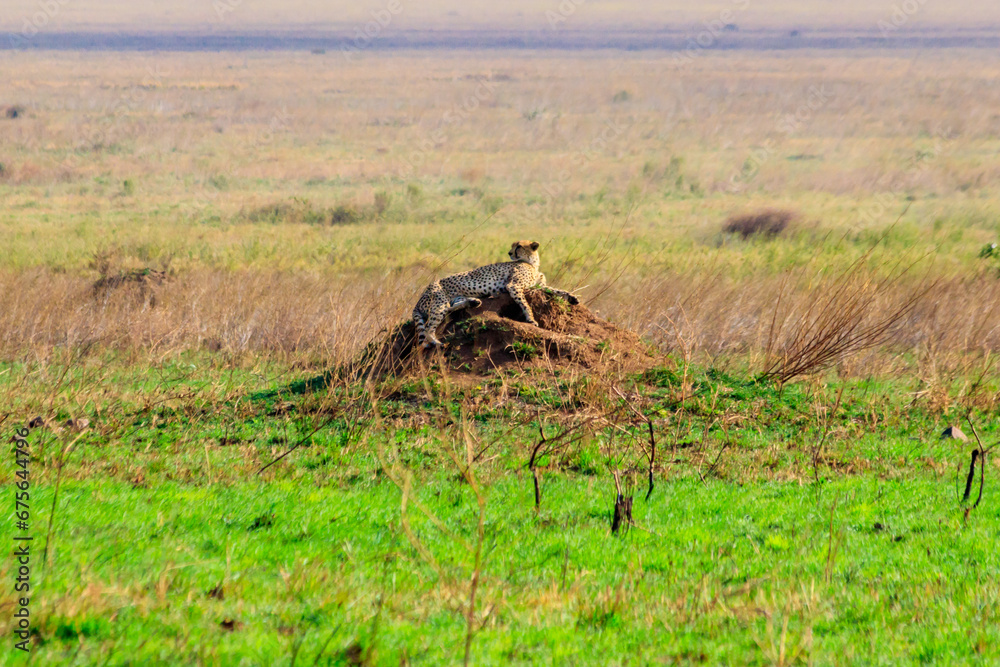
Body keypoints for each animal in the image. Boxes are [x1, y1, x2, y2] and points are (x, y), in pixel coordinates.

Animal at [412, 240, 580, 349]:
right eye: (513, 246)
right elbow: (525, 303)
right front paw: (531, 319)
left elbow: (556, 290)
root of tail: (420, 297)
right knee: (428, 328)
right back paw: (437, 343)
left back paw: (473, 302)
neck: (532, 263)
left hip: (450, 300)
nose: (510, 252)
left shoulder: (537, 287)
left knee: (450, 308)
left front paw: (572, 298)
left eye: (518, 246)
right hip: (438, 303)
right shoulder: (514, 285)